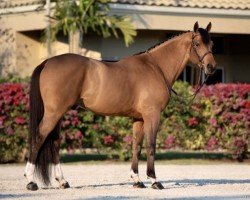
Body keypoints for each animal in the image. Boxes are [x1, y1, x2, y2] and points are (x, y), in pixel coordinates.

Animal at [23, 21, 217, 191]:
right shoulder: (152, 115)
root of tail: (47, 62)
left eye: (212, 43)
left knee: (54, 142)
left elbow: (136, 146)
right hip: (54, 113)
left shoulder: (138, 118)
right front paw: (154, 180)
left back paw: (62, 181)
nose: (211, 67)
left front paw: (137, 180)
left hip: (59, 114)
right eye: (197, 43)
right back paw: (30, 181)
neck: (156, 68)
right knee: (39, 138)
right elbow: (151, 145)